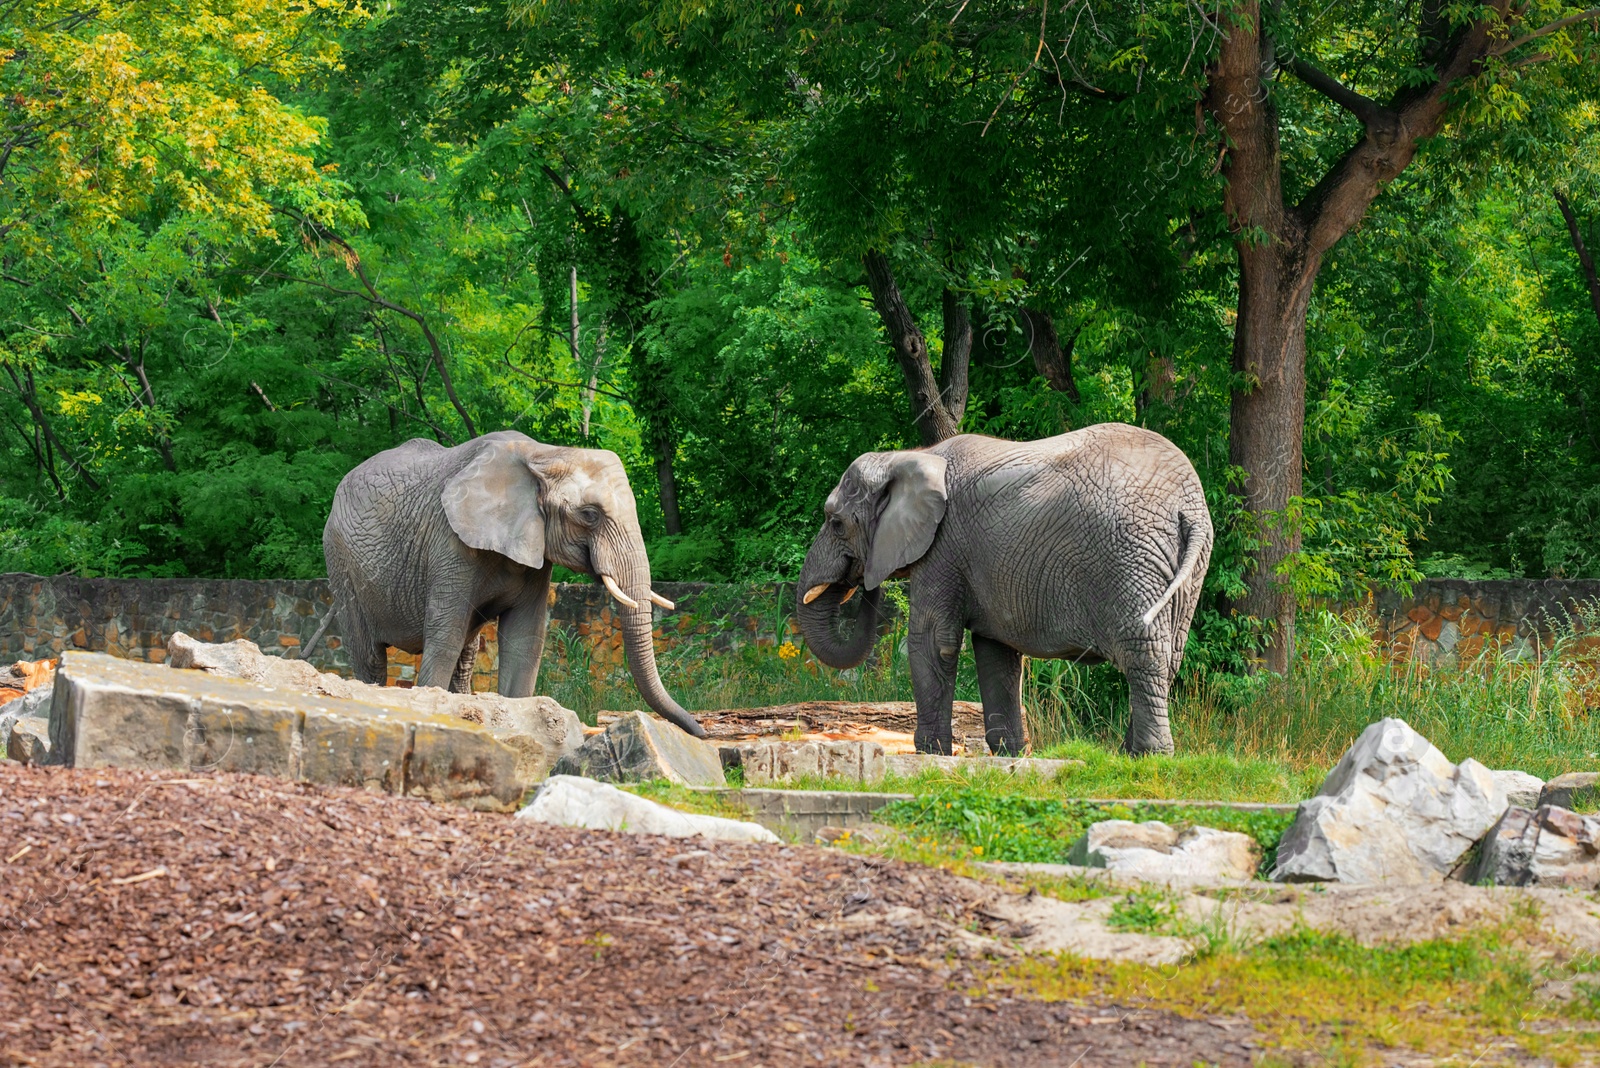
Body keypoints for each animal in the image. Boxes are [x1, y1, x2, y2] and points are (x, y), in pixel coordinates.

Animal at [321, 428, 704, 738]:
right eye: (590, 515)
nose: (700, 731)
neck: (544, 454)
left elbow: (525, 640)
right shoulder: (449, 542)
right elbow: (444, 638)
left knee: (466, 654)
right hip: (341, 562)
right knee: (371, 656)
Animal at [793, 422, 1216, 754]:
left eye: (835, 523)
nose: (865, 582)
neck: (907, 458)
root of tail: (1189, 506)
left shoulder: (943, 548)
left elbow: (934, 641)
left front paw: (930, 752)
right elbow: (996, 651)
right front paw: (1008, 753)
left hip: (1130, 556)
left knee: (1144, 653)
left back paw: (1147, 757)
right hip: (1188, 567)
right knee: (1170, 656)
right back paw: (1129, 753)